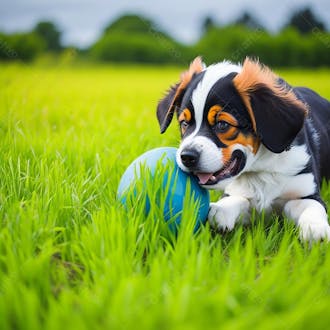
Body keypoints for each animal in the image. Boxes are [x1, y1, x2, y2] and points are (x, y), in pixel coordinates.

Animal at [156, 57, 330, 242]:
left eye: (222, 124)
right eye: (184, 123)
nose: (187, 157)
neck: (260, 171)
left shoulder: (307, 191)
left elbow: (312, 208)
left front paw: (315, 229)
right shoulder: (239, 195)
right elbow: (233, 204)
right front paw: (220, 211)